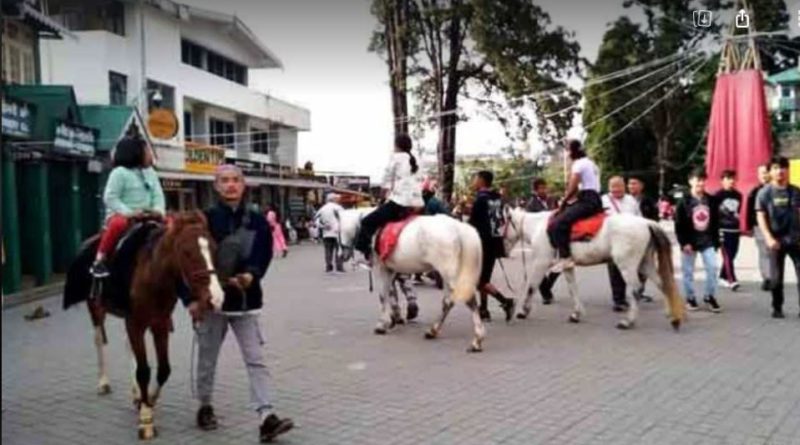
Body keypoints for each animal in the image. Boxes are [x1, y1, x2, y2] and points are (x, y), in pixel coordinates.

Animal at [63, 211, 222, 438]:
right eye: (186, 252)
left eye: (214, 248)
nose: (216, 298)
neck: (152, 274)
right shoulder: (136, 323)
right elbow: (144, 370)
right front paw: (146, 420)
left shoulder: (159, 324)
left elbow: (163, 369)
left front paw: (147, 401)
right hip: (95, 308)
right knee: (98, 340)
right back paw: (103, 382)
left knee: (127, 347)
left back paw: (136, 394)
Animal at [340, 207, 488, 350]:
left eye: (339, 230)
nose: (341, 256)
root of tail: (459, 228)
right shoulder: (391, 270)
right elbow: (392, 293)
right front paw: (395, 317)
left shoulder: (380, 268)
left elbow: (383, 295)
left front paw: (382, 325)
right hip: (447, 273)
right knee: (448, 302)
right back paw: (433, 331)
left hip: (450, 274)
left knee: (468, 300)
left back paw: (477, 340)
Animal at [504, 208, 684, 330]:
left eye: (501, 223)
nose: (503, 250)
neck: (539, 227)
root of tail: (647, 222)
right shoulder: (566, 265)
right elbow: (573, 288)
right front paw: (576, 314)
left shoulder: (541, 262)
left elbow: (532, 286)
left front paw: (523, 311)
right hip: (645, 263)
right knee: (662, 283)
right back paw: (673, 316)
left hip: (627, 265)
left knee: (635, 290)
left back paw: (628, 321)